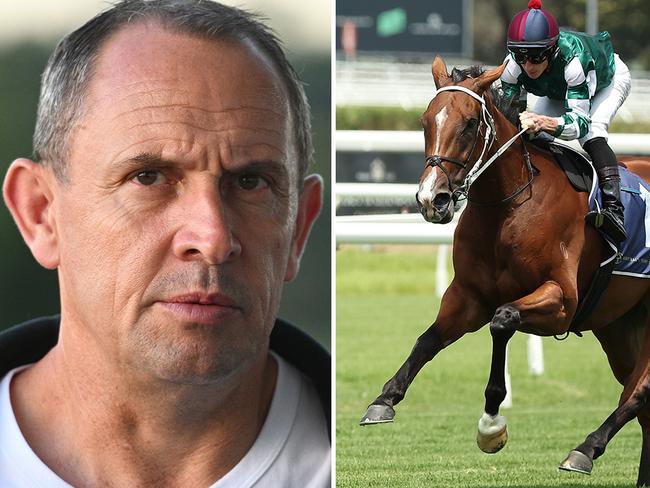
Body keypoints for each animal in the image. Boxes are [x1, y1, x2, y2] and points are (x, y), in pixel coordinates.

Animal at [360, 55, 650, 486]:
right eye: (425, 121)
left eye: (469, 124)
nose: (432, 199)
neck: (510, 207)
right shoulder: (467, 295)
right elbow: (428, 340)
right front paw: (383, 401)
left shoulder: (561, 302)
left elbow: (503, 319)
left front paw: (491, 425)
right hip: (619, 325)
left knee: (638, 393)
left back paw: (584, 449)